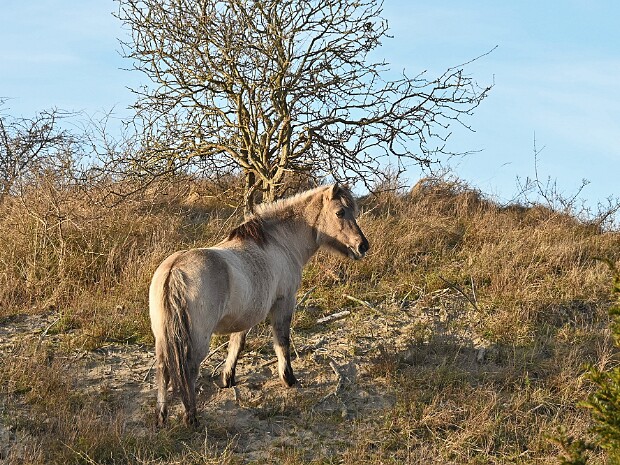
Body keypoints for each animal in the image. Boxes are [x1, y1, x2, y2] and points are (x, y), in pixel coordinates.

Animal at [149, 183, 368, 426]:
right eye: (340, 212)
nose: (362, 246)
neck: (280, 243)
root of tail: (174, 270)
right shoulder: (284, 302)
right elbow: (282, 342)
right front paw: (289, 379)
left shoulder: (246, 315)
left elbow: (236, 345)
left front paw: (228, 379)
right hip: (197, 338)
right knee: (188, 369)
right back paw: (192, 419)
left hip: (163, 337)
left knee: (163, 369)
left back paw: (161, 419)